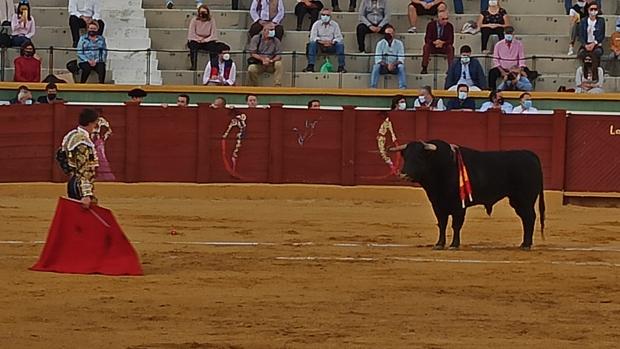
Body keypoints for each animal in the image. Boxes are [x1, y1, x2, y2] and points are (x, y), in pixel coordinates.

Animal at [392, 138, 548, 247]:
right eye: (405, 156)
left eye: (419, 157)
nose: (403, 175)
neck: (443, 166)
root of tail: (530, 155)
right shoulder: (437, 204)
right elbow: (442, 224)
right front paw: (439, 244)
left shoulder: (458, 206)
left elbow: (456, 225)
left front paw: (454, 245)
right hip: (517, 200)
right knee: (526, 218)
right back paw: (524, 243)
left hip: (525, 199)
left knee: (530, 217)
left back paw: (526, 244)